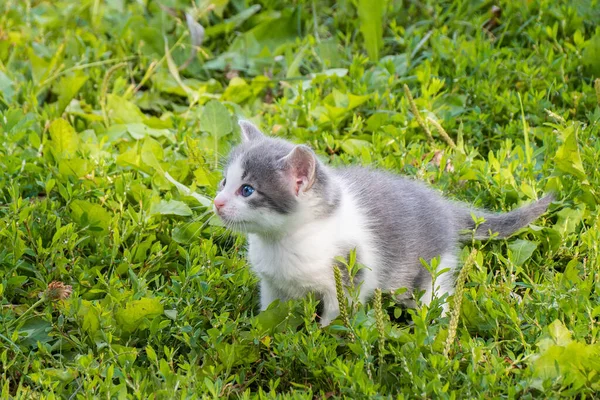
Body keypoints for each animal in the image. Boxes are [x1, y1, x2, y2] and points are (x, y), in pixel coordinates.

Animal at [213, 120, 552, 326]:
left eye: (247, 190)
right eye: (224, 182)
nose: (217, 203)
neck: (283, 241)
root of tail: (443, 206)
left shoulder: (347, 279)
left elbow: (337, 316)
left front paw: (322, 337)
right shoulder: (271, 284)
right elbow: (271, 312)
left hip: (431, 268)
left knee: (435, 297)